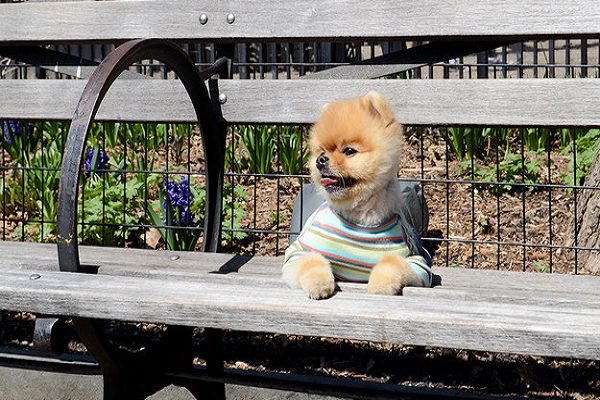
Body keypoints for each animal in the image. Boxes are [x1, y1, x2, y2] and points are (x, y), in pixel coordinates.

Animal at [282, 91, 432, 299]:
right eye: (321, 151)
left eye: (349, 151)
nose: (321, 160)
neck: (359, 217)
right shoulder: (297, 253)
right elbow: (312, 261)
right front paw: (318, 284)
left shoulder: (418, 263)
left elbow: (392, 261)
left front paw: (381, 285)